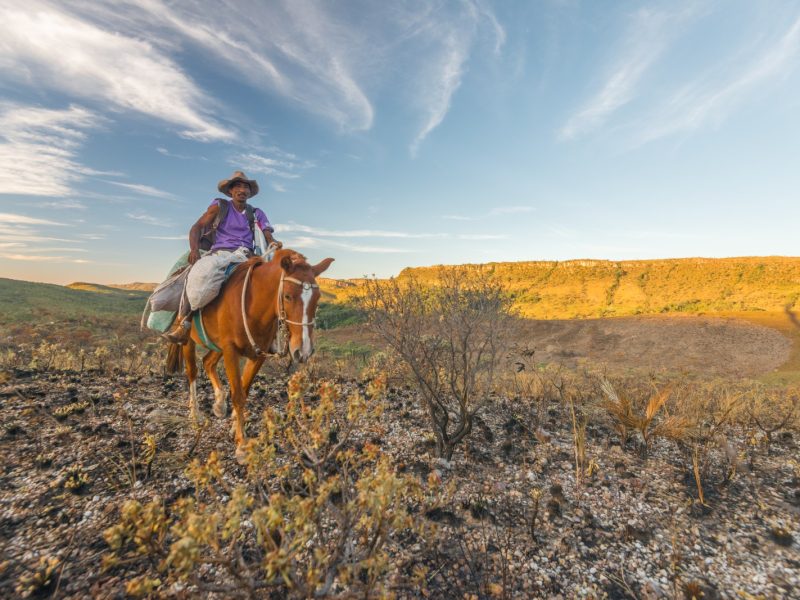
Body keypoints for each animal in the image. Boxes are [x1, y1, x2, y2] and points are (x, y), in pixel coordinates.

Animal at [167, 248, 332, 460]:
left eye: (318, 298)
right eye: (287, 296)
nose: (303, 350)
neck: (254, 306)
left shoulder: (258, 355)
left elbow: (244, 389)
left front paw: (235, 427)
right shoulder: (230, 351)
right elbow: (238, 395)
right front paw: (242, 444)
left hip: (216, 345)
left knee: (208, 363)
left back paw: (219, 404)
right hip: (189, 341)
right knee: (192, 371)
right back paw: (195, 413)